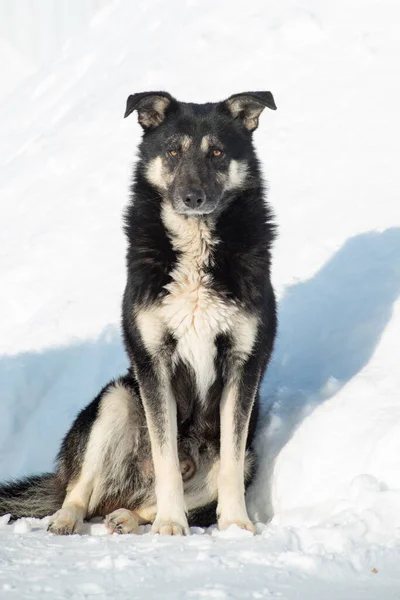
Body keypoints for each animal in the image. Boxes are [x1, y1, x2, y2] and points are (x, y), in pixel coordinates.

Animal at [0, 91, 276, 536]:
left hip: (241, 454)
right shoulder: (153, 362)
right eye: (173, 151)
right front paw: (171, 525)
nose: (193, 198)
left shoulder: (242, 365)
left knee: (143, 500)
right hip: (117, 398)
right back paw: (66, 519)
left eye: (217, 152)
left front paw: (235, 523)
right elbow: (166, 462)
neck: (196, 249)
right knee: (80, 491)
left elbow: (230, 466)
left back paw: (130, 518)